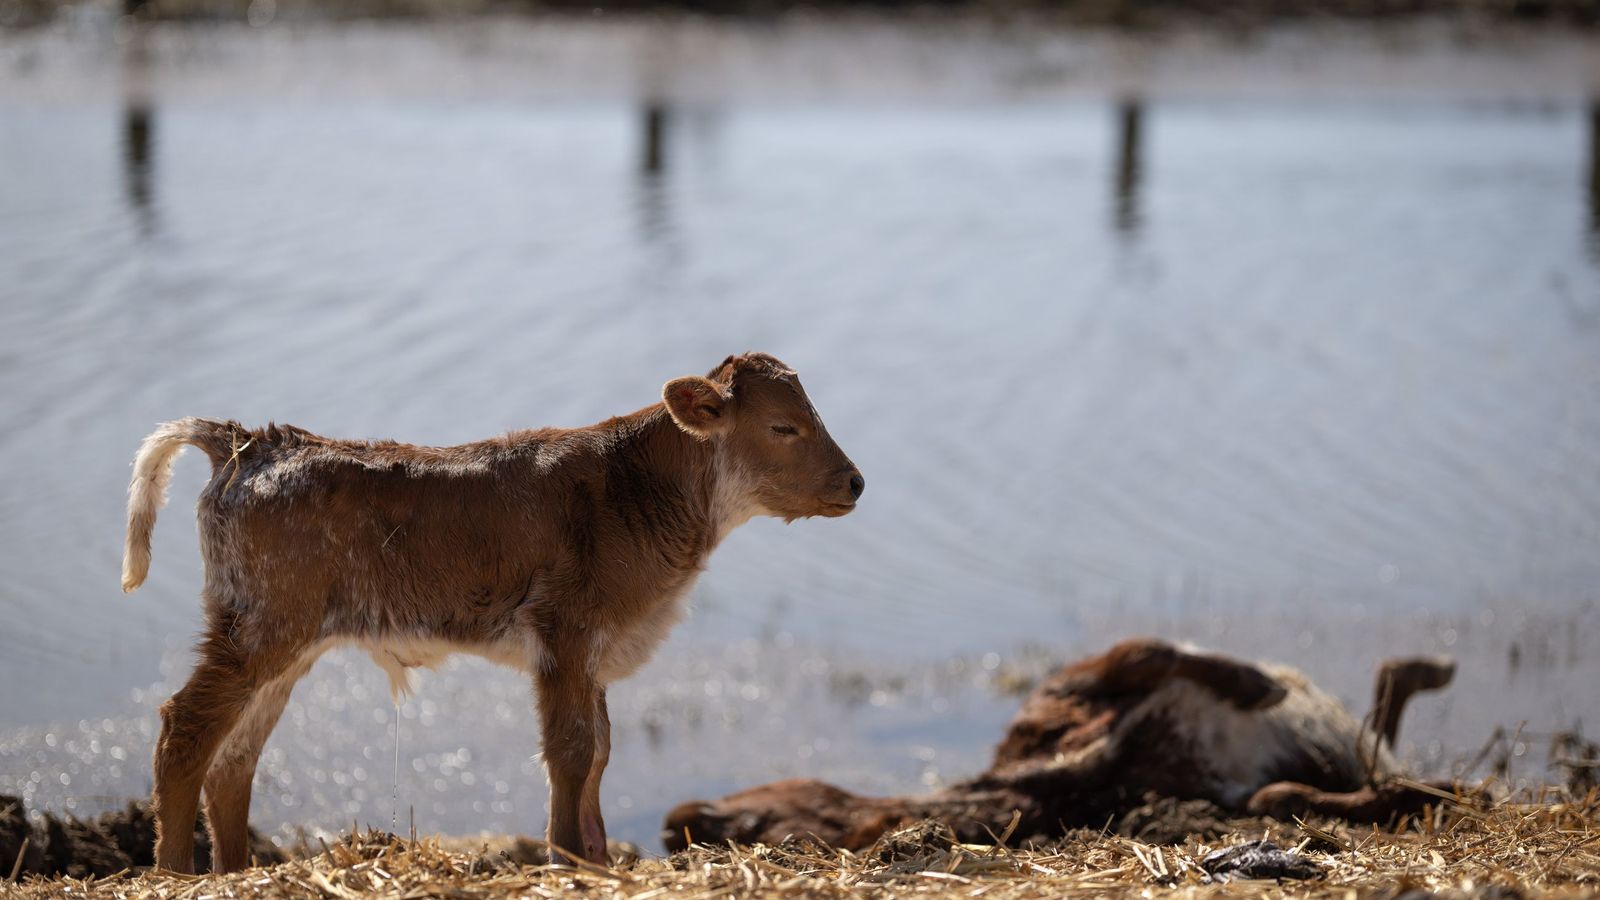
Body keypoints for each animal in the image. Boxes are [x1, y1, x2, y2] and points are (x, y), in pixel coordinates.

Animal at [120, 352, 863, 873]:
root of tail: (250, 439)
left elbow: (601, 749)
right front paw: (567, 858)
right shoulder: (565, 634)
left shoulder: (593, 653)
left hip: (286, 641)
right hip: (261, 628)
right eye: (783, 426)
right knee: (185, 729)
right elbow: (572, 750)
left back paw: (235, 870)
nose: (856, 482)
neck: (640, 490)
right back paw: (174, 872)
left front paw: (595, 857)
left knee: (234, 758)